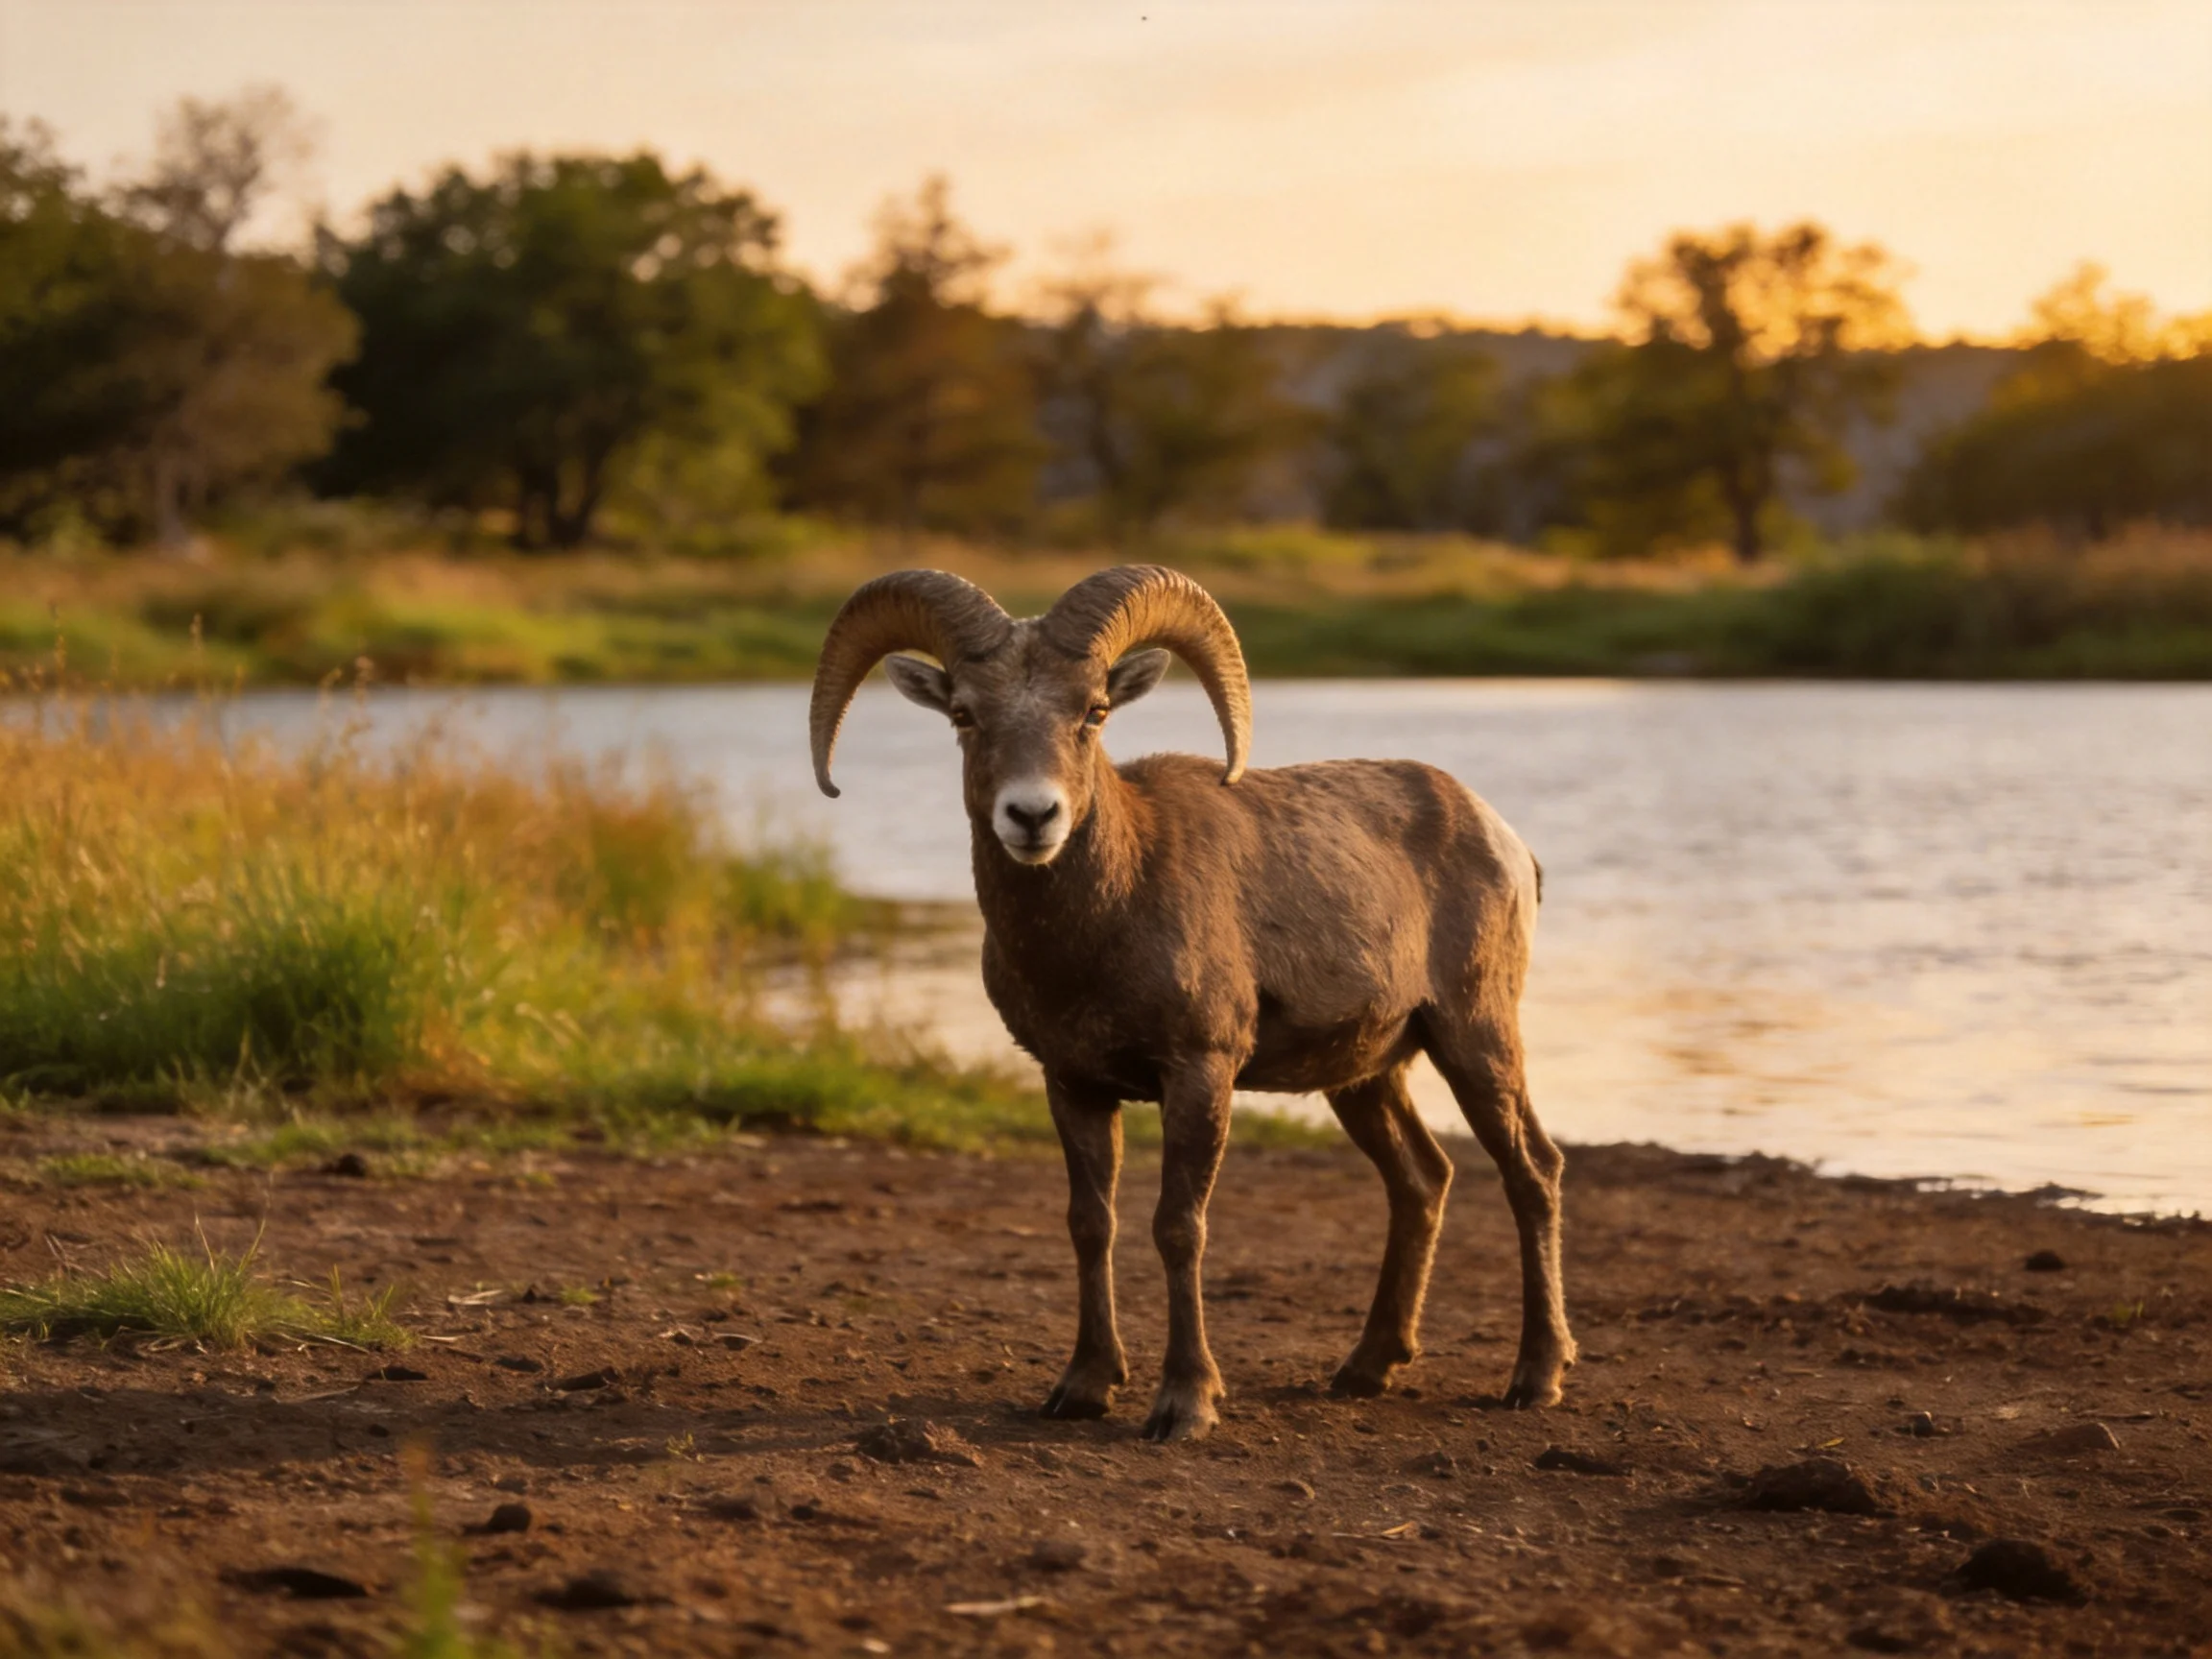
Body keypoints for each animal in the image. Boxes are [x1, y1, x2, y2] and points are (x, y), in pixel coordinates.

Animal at [809, 564, 1573, 1440]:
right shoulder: (1072, 1083)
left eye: (1093, 711)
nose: (1033, 816)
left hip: (1476, 1040)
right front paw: (1082, 1387)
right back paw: (1364, 1370)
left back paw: (1535, 1378)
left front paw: (1184, 1404)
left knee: (1532, 1172)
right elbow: (1090, 1224)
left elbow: (1179, 1227)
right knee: (1422, 1180)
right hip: (1365, 1078)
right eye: (965, 714)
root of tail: (1505, 839)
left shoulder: (1200, 1073)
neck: (1106, 921)